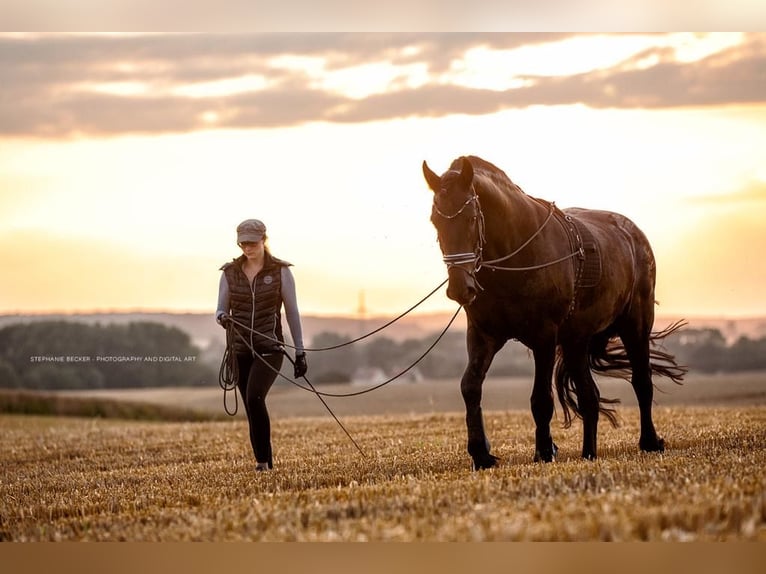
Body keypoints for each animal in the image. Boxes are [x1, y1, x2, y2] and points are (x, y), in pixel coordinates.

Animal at [422, 155, 687, 469]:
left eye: (472, 218)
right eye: (435, 221)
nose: (460, 288)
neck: (516, 256)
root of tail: (634, 235)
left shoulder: (544, 338)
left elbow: (541, 399)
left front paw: (544, 451)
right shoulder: (484, 336)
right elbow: (470, 387)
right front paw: (481, 454)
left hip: (635, 326)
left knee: (642, 382)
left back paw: (649, 442)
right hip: (576, 343)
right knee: (589, 396)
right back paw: (588, 452)